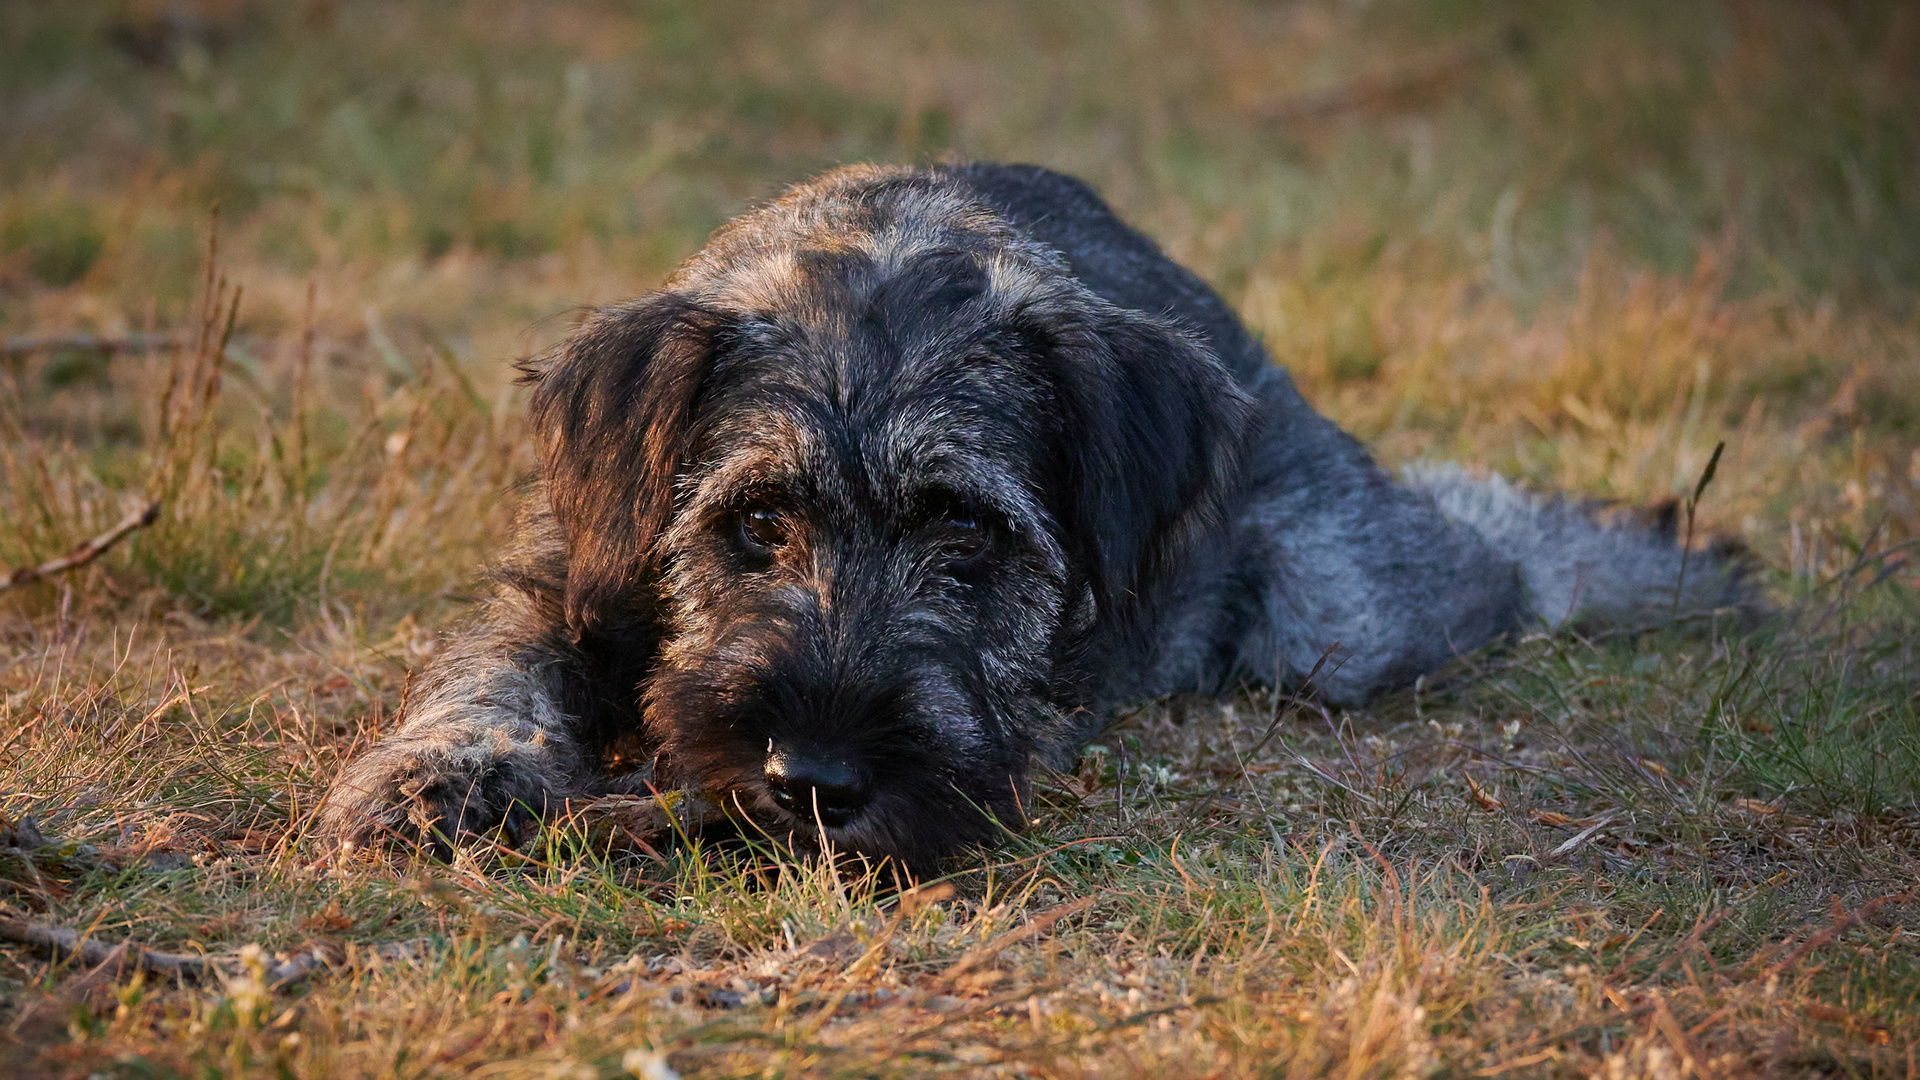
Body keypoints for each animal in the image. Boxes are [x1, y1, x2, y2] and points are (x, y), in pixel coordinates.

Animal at [318, 161, 1758, 864]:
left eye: (969, 533)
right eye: (755, 523)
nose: (814, 780)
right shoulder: (571, 567)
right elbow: (496, 660)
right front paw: (440, 772)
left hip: (1336, 616)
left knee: (1478, 553)